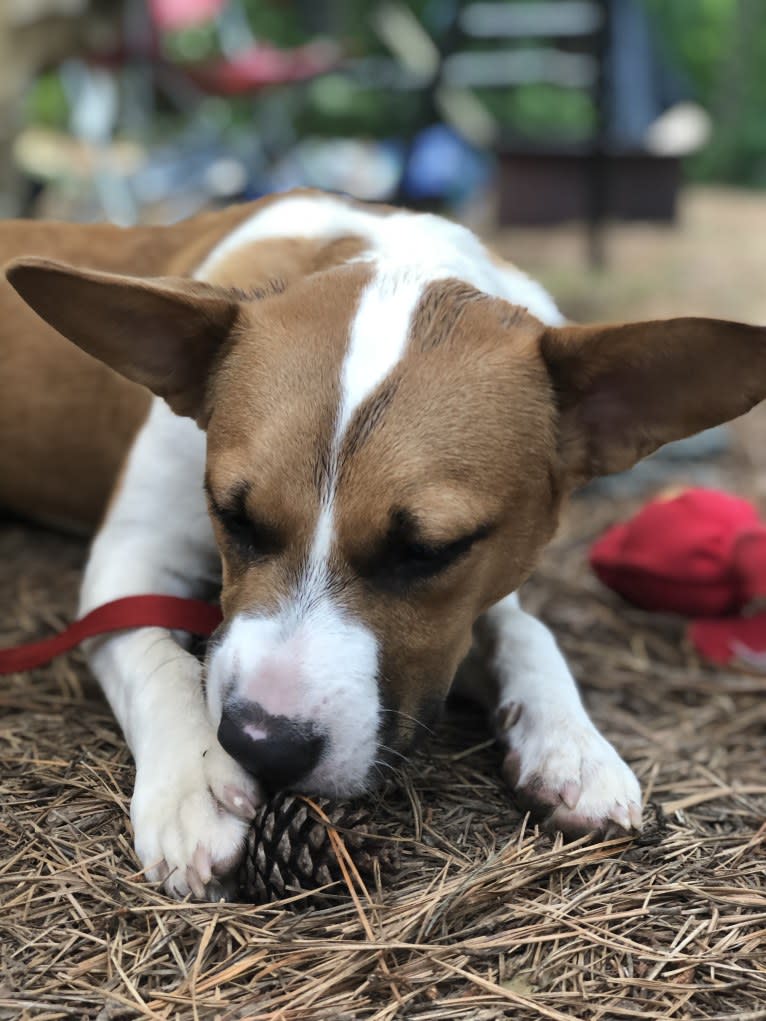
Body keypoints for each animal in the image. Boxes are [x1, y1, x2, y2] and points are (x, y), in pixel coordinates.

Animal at [4, 187, 766, 898]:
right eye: (233, 516)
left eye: (429, 551)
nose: (262, 745)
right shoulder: (129, 560)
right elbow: (152, 657)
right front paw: (195, 783)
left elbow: (525, 632)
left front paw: (570, 743)